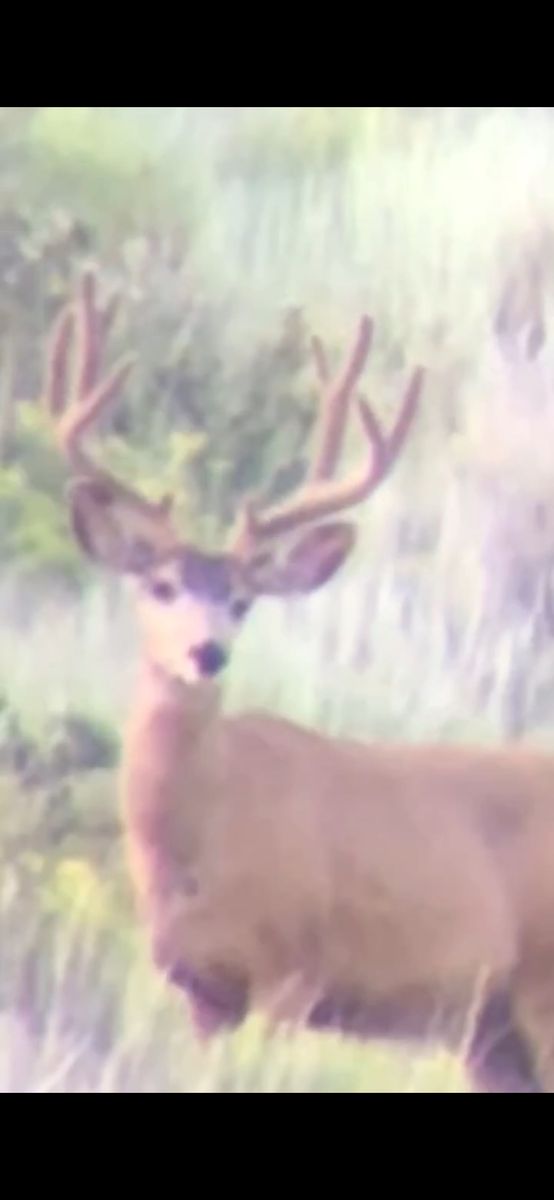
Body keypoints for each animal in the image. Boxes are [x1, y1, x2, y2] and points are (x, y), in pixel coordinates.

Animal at [39, 269, 554, 1094]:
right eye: (160, 585)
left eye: (243, 601)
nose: (207, 653)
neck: (198, 846)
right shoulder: (202, 993)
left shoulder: (292, 971)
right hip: (490, 1034)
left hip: (540, 991)